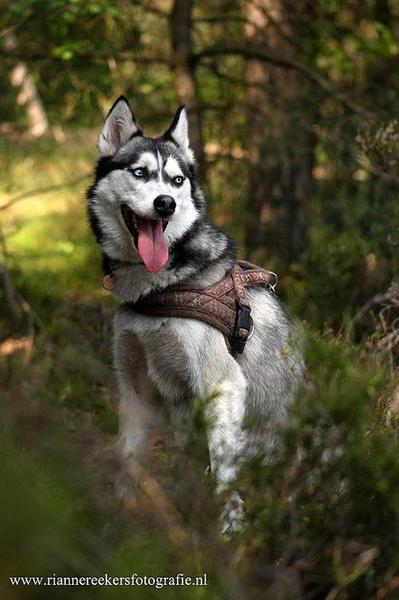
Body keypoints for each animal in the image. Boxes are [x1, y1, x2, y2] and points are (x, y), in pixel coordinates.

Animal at [88, 98, 304, 536]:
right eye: (140, 173)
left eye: (176, 181)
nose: (165, 204)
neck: (158, 288)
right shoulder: (134, 387)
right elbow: (128, 457)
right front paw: (120, 518)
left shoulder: (222, 384)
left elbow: (224, 472)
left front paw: (229, 535)